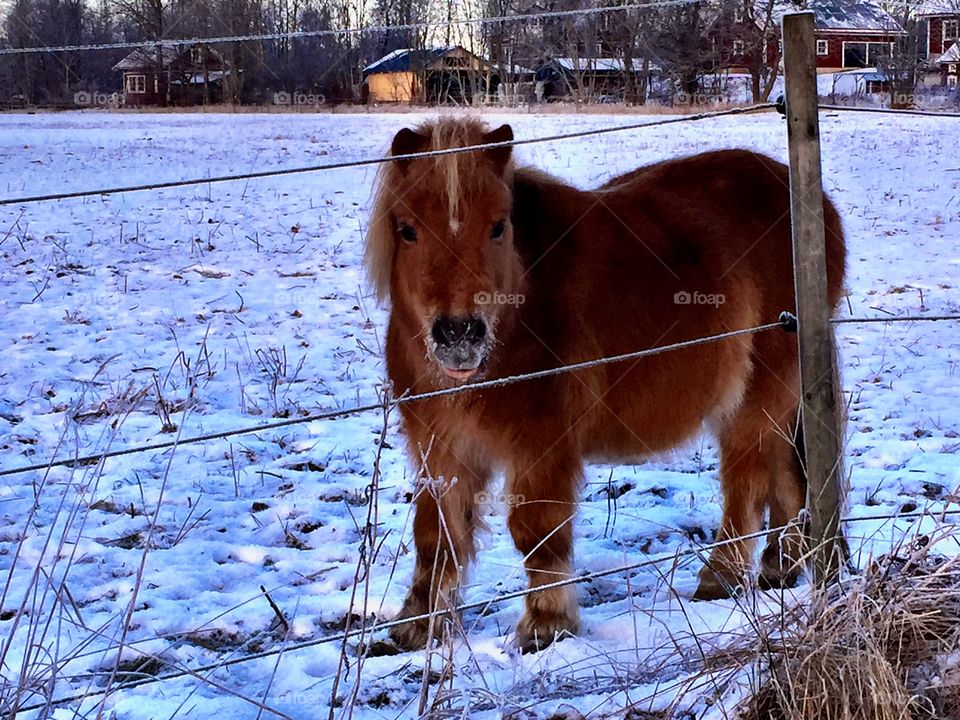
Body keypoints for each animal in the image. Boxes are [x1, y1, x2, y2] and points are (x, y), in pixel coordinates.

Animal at [365, 117, 846, 652]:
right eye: (407, 230)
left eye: (499, 226)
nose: (458, 335)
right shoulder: (440, 450)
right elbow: (435, 532)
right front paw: (415, 624)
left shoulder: (541, 446)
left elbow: (537, 531)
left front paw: (545, 624)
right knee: (784, 475)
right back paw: (779, 567)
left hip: (756, 397)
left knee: (748, 482)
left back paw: (720, 576)